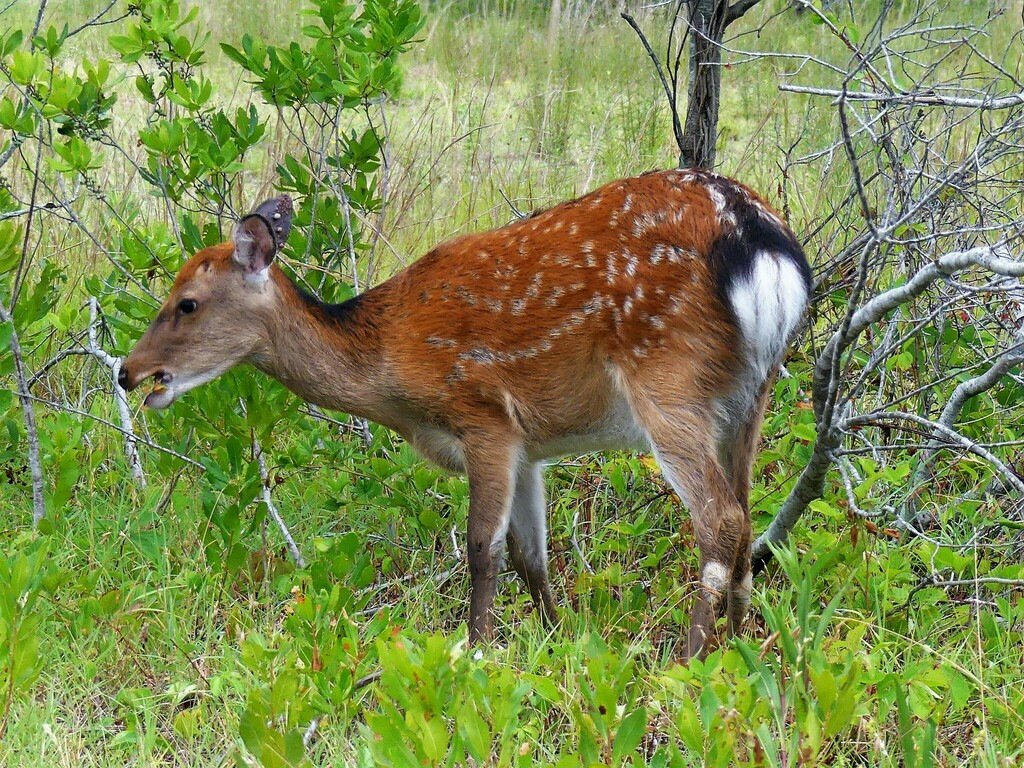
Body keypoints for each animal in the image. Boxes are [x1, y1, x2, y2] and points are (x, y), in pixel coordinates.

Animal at [117, 169, 806, 663]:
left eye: (187, 303)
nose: (128, 373)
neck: (387, 364)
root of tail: (764, 247)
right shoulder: (530, 446)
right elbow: (532, 555)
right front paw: (559, 639)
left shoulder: (482, 415)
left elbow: (482, 546)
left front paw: (475, 653)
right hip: (750, 393)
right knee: (747, 513)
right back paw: (740, 645)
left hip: (667, 378)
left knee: (719, 519)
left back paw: (687, 661)